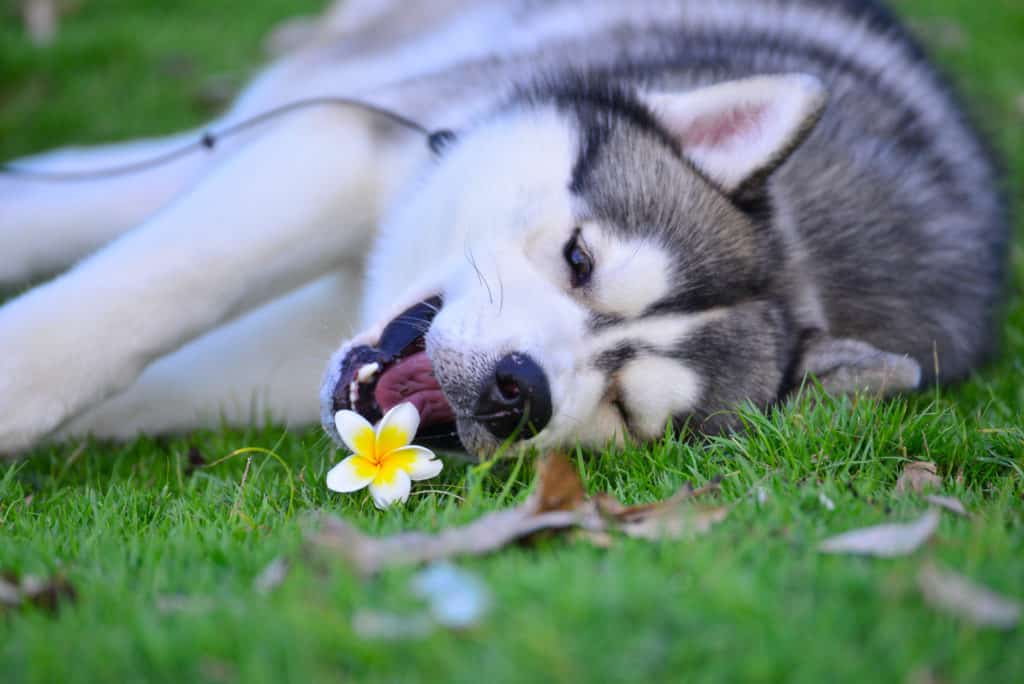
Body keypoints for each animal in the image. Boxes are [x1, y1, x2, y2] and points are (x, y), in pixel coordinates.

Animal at [0, 1, 1007, 458]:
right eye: (579, 258)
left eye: (624, 407)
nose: (516, 390)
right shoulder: (343, 144)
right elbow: (160, 282)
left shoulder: (265, 371)